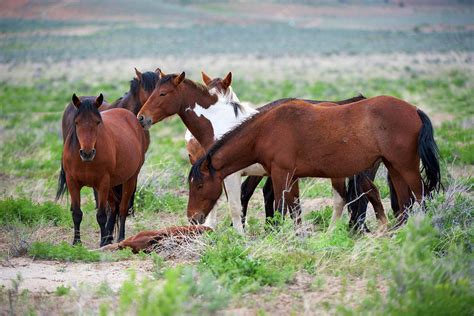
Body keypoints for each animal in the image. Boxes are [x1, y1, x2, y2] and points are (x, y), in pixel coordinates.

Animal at [58, 94, 149, 247]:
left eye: (97, 122)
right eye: (76, 122)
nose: (87, 153)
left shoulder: (102, 183)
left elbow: (101, 215)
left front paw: (102, 242)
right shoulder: (72, 183)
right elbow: (76, 213)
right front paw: (76, 243)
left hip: (129, 179)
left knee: (122, 208)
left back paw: (120, 238)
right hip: (112, 185)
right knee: (114, 207)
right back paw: (108, 238)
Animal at [186, 95, 440, 227]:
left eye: (199, 185)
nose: (192, 218)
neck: (266, 130)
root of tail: (414, 110)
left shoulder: (281, 174)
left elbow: (281, 207)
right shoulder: (291, 176)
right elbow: (294, 208)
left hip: (406, 167)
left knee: (422, 196)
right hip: (394, 167)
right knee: (405, 203)